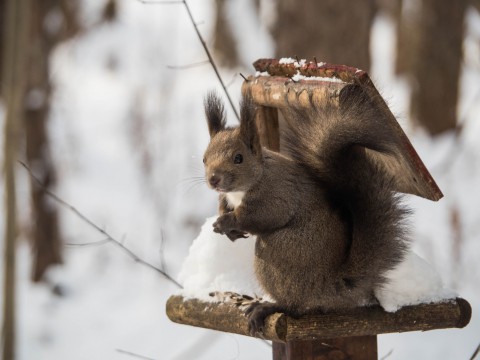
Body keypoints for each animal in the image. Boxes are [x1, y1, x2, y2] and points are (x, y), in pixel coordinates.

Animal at [202, 87, 408, 334]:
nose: (214, 180)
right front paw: (225, 227)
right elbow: (224, 205)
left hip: (278, 254)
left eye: (238, 158)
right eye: (204, 158)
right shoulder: (227, 197)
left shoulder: (277, 193)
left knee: (295, 306)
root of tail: (328, 287)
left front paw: (227, 223)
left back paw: (268, 307)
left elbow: (262, 216)